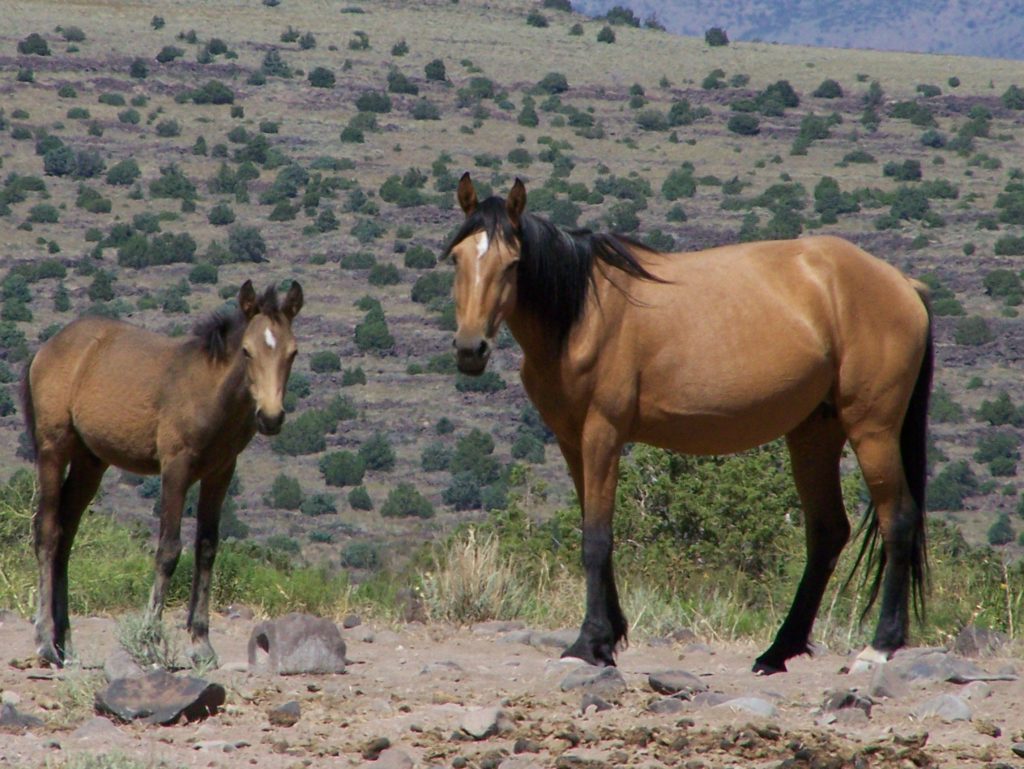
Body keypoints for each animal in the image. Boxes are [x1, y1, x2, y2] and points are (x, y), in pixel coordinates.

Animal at [23, 280, 303, 663]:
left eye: (293, 353)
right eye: (247, 351)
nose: (271, 417)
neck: (210, 394)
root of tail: (46, 349)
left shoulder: (221, 472)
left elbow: (207, 548)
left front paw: (201, 642)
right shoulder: (175, 469)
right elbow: (168, 550)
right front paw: (150, 639)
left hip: (89, 461)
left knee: (67, 534)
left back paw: (65, 641)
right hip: (53, 448)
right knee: (48, 532)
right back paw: (45, 641)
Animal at [448, 174, 937, 671]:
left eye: (513, 263)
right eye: (457, 257)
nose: (470, 349)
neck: (583, 313)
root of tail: (902, 283)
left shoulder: (603, 433)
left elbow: (597, 539)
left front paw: (589, 642)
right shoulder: (571, 439)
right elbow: (595, 530)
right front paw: (609, 638)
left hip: (872, 430)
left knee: (897, 520)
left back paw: (880, 645)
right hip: (814, 433)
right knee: (827, 532)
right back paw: (778, 650)